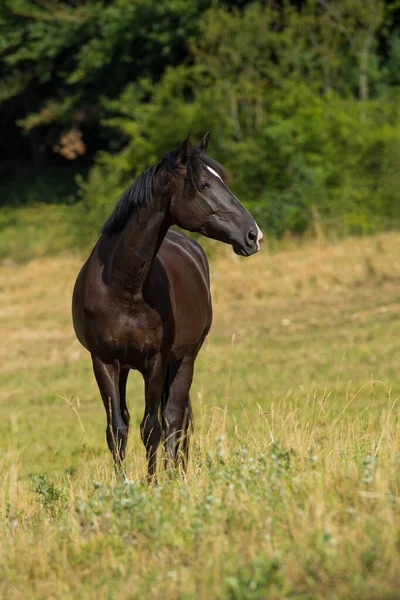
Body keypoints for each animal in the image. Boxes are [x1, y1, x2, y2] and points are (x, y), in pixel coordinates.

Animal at [72, 132, 262, 482]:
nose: (253, 235)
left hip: (185, 359)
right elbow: (116, 429)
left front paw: (153, 484)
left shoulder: (156, 362)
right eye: (205, 184)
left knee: (174, 419)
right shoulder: (103, 361)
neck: (123, 287)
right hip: (127, 366)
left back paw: (175, 475)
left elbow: (152, 428)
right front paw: (123, 486)